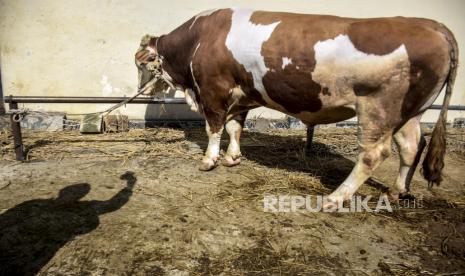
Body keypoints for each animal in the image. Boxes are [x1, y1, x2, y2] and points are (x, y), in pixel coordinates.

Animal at [134, 7, 456, 206]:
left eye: (140, 64)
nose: (139, 92)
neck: (200, 38)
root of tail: (431, 25)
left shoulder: (213, 91)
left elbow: (214, 127)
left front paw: (209, 160)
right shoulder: (242, 94)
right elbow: (235, 127)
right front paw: (232, 157)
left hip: (377, 109)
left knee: (373, 154)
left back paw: (335, 198)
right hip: (410, 112)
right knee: (412, 146)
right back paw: (396, 192)